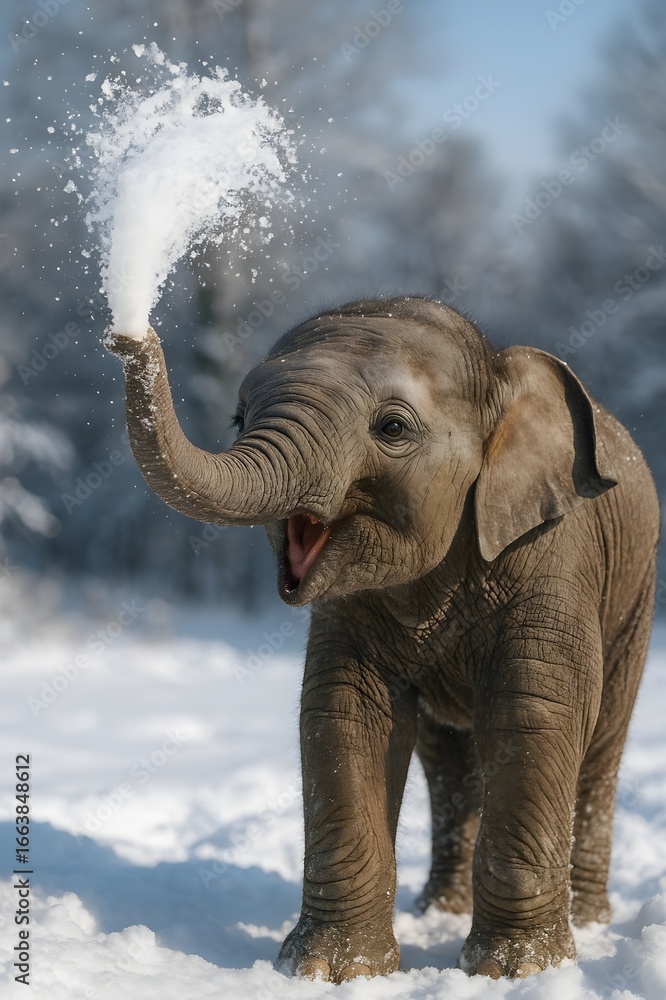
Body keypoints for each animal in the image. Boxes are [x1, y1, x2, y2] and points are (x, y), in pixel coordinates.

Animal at [107, 296, 659, 982]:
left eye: (392, 428)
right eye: (237, 418)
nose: (125, 333)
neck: (495, 374)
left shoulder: (554, 554)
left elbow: (536, 709)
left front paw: (516, 972)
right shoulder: (350, 607)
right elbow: (347, 712)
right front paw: (332, 970)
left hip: (635, 596)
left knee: (601, 742)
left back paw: (588, 923)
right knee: (448, 761)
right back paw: (439, 910)